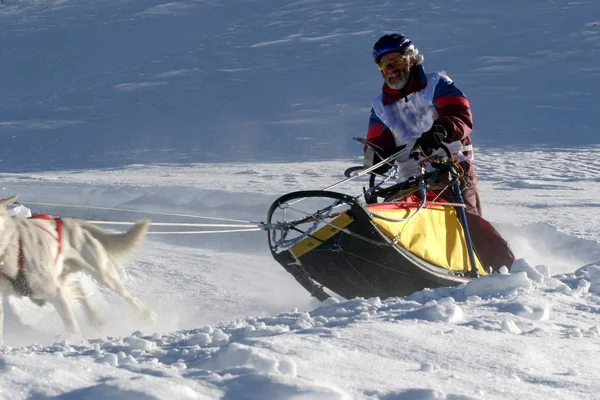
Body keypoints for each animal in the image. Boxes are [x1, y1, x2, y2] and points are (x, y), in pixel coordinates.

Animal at [0, 195, 156, 342]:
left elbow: (71, 324)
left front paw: (76, 340)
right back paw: (95, 319)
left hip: (102, 274)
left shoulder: (55, 292)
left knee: (127, 295)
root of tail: (71, 222)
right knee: (78, 287)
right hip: (46, 290)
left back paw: (147, 315)